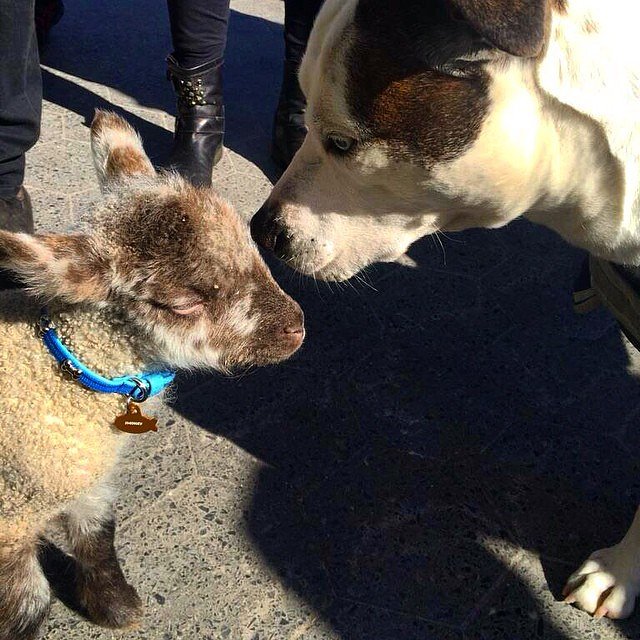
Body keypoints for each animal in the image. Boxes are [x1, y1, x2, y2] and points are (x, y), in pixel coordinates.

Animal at [0, 111, 304, 640]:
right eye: (182, 303)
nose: (297, 327)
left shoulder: (90, 482)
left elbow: (98, 538)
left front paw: (117, 609)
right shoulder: (9, 521)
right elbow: (29, 601)